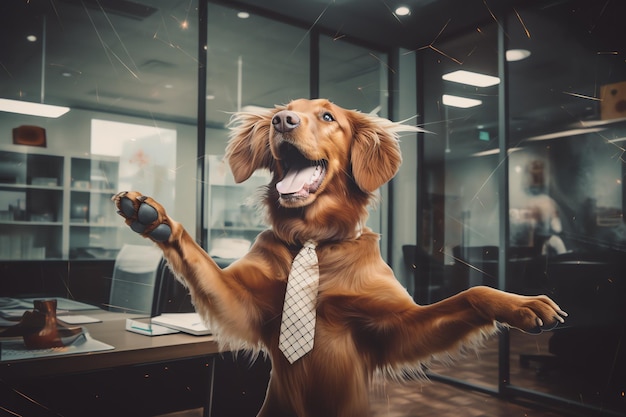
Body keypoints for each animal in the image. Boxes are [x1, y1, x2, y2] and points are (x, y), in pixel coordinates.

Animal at [113, 98, 564, 416]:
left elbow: (470, 293)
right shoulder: (244, 305)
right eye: (284, 111)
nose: (282, 121)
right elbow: (201, 259)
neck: (313, 239)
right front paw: (156, 218)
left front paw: (524, 304)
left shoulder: (396, 328)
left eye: (328, 117)